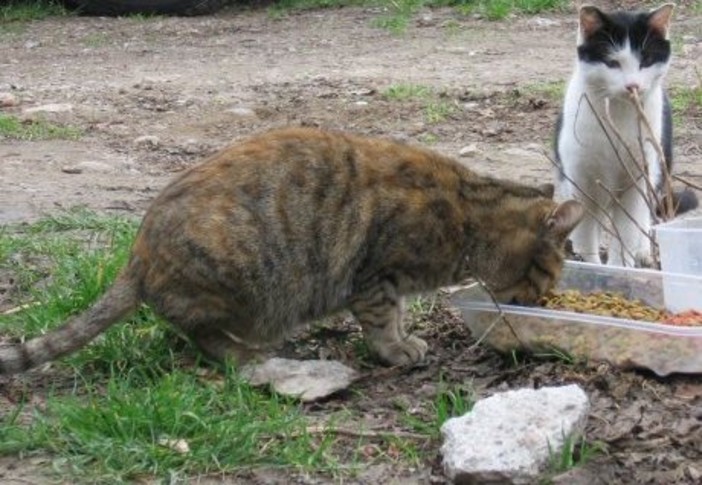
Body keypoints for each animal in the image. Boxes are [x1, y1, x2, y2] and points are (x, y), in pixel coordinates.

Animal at [0, 126, 584, 372]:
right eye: (549, 276)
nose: (541, 304)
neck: (467, 213)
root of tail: (136, 258)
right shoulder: (376, 278)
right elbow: (383, 322)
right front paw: (397, 349)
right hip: (238, 276)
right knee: (198, 332)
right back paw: (245, 352)